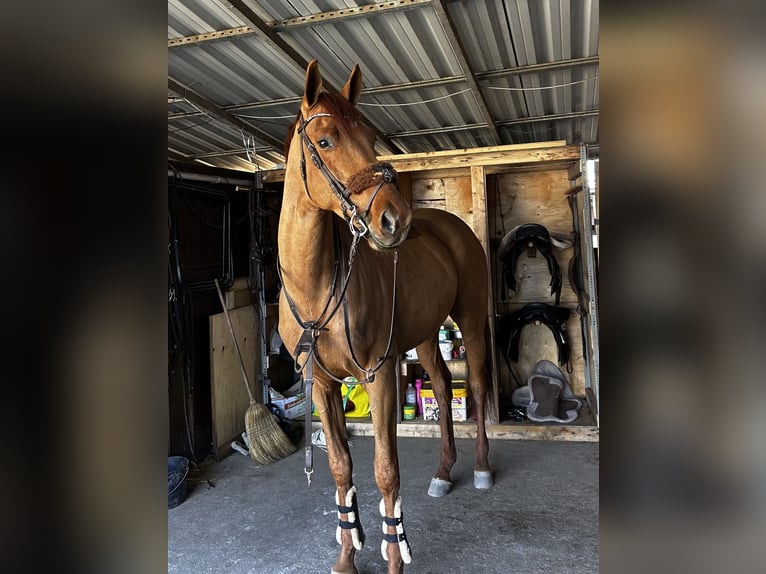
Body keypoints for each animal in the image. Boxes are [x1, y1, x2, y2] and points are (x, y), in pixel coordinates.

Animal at [277, 59, 493, 574]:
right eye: (326, 141)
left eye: (370, 137)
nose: (396, 220)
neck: (316, 290)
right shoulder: (322, 384)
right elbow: (341, 467)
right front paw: (346, 555)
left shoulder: (378, 374)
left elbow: (385, 470)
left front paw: (395, 554)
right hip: (426, 335)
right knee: (441, 385)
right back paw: (443, 471)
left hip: (471, 320)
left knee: (476, 385)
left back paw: (479, 467)